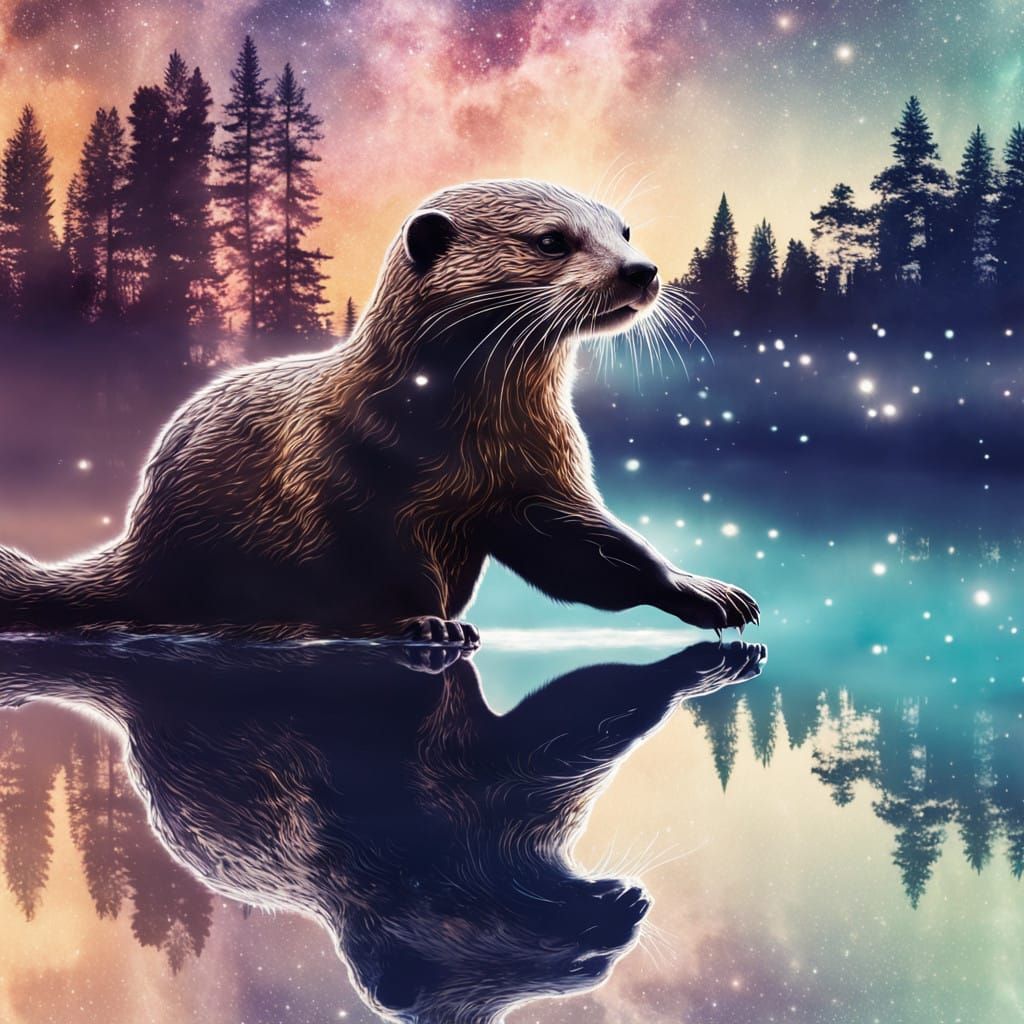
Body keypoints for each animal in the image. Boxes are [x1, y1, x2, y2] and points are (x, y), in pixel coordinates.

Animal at [0, 179, 758, 641]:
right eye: (552, 240)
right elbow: (382, 565)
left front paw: (707, 592)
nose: (642, 270)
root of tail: (140, 541)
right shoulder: (343, 475)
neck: (460, 439)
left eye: (624, 230)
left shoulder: (537, 483)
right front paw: (425, 625)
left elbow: (594, 555)